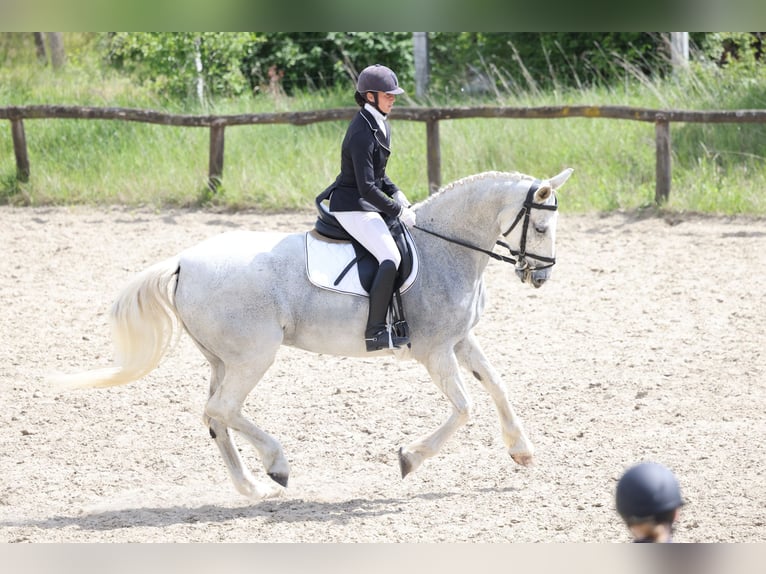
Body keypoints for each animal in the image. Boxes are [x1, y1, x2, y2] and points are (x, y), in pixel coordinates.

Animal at [58, 169, 576, 502]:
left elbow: (498, 386)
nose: (541, 276)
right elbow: (465, 407)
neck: (443, 248)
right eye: (541, 225)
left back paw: (250, 487)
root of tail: (183, 261)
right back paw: (276, 466)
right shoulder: (434, 351)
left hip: (223, 360)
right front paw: (409, 458)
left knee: (214, 416)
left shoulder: (459, 341)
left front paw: (522, 451)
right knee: (224, 409)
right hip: (253, 356)